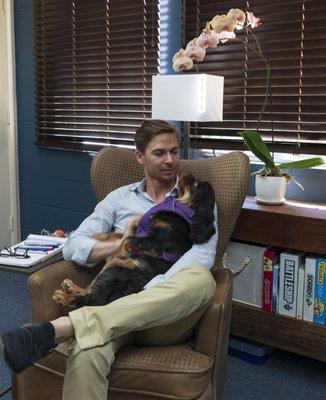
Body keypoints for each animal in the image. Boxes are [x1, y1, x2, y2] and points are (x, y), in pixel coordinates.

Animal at [53, 173, 216, 308]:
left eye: (195, 184)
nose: (188, 175)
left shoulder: (155, 241)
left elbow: (127, 241)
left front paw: (119, 250)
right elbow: (117, 235)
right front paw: (95, 236)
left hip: (118, 269)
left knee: (91, 298)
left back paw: (66, 296)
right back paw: (71, 288)